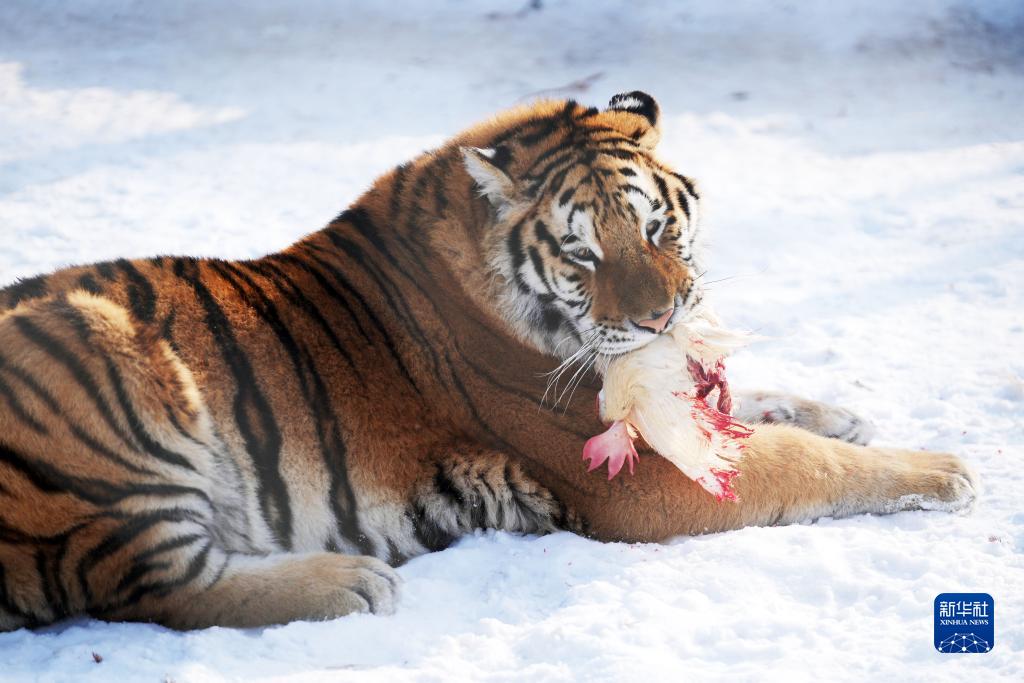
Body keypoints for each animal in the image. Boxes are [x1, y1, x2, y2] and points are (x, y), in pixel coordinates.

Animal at [0, 93, 974, 634]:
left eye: (659, 227)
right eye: (582, 255)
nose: (661, 313)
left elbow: (740, 407)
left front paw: (836, 408)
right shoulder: (633, 477)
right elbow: (802, 464)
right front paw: (942, 466)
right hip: (101, 371)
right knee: (145, 585)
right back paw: (351, 583)